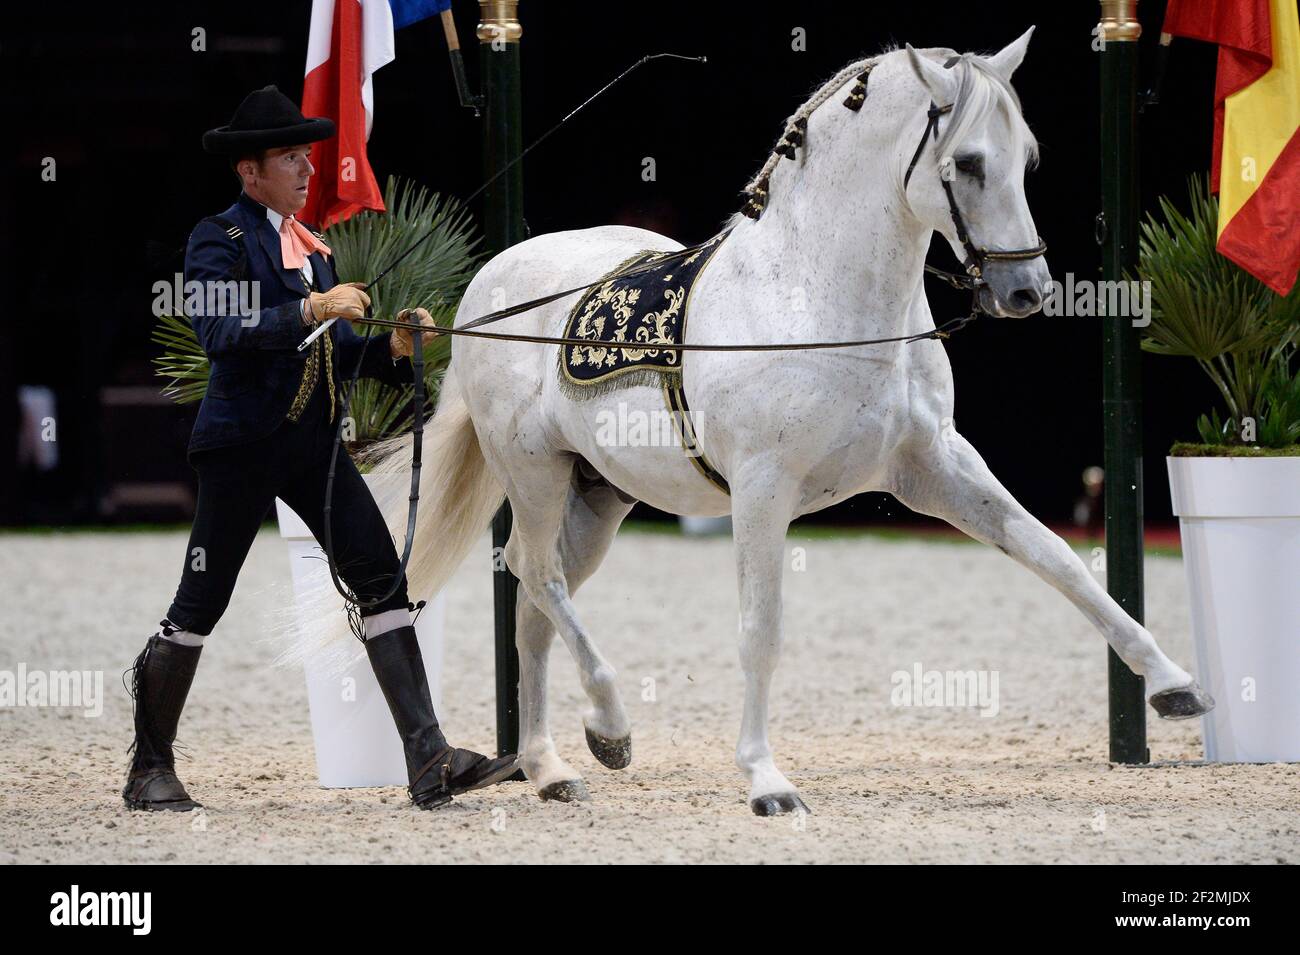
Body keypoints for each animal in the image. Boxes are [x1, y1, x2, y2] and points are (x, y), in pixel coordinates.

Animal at [353, 29, 1206, 815]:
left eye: (1025, 159)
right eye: (966, 163)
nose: (1025, 289)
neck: (822, 304)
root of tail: (487, 286)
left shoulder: (935, 468)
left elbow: (1057, 557)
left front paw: (1175, 684)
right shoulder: (764, 489)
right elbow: (760, 630)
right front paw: (767, 780)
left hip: (596, 497)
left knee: (535, 608)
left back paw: (551, 766)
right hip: (532, 475)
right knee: (539, 577)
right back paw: (611, 729)